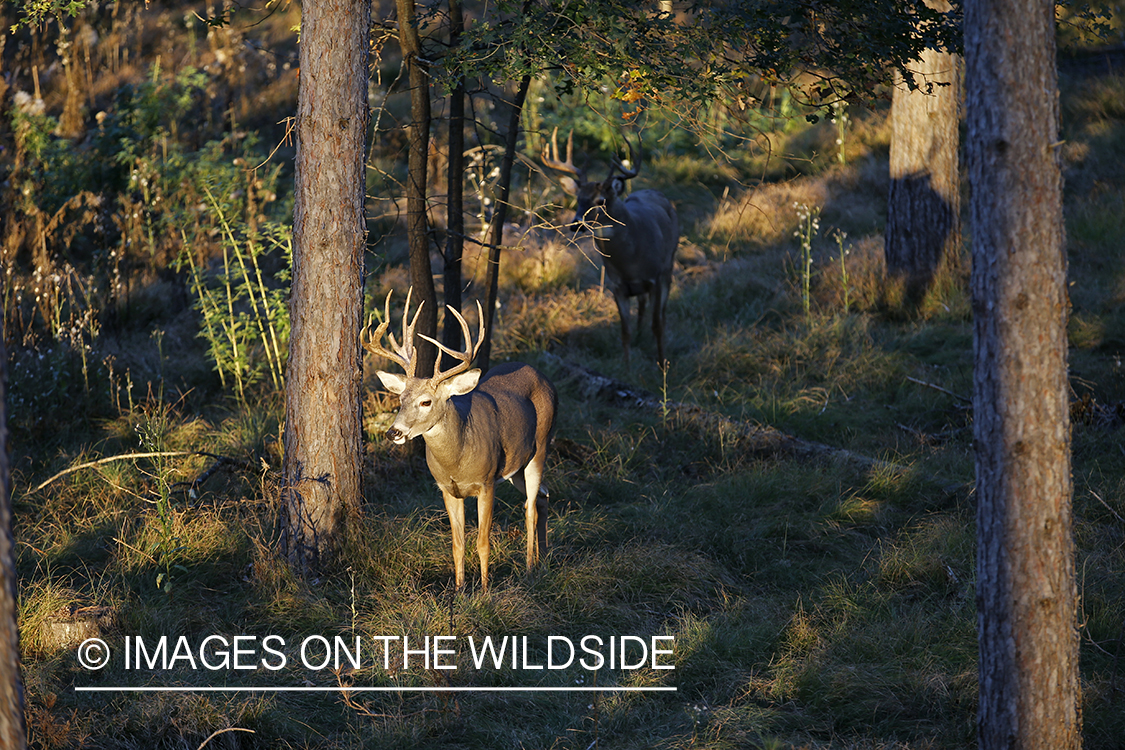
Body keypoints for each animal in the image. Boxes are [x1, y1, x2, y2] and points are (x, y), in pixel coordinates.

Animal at [364, 290, 558, 589]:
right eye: (400, 399)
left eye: (426, 401)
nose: (393, 432)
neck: (457, 460)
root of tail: (541, 375)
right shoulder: (446, 489)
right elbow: (457, 544)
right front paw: (459, 589)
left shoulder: (487, 483)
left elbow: (482, 542)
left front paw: (485, 589)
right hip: (516, 467)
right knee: (543, 498)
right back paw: (544, 559)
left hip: (540, 447)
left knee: (530, 509)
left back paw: (529, 568)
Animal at [542, 129, 679, 368]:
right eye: (578, 198)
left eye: (601, 201)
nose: (575, 224)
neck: (630, 261)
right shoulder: (616, 286)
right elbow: (625, 330)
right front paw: (627, 366)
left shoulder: (655, 277)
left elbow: (658, 325)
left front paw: (662, 365)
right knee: (641, 303)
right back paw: (640, 335)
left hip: (669, 265)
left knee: (661, 313)